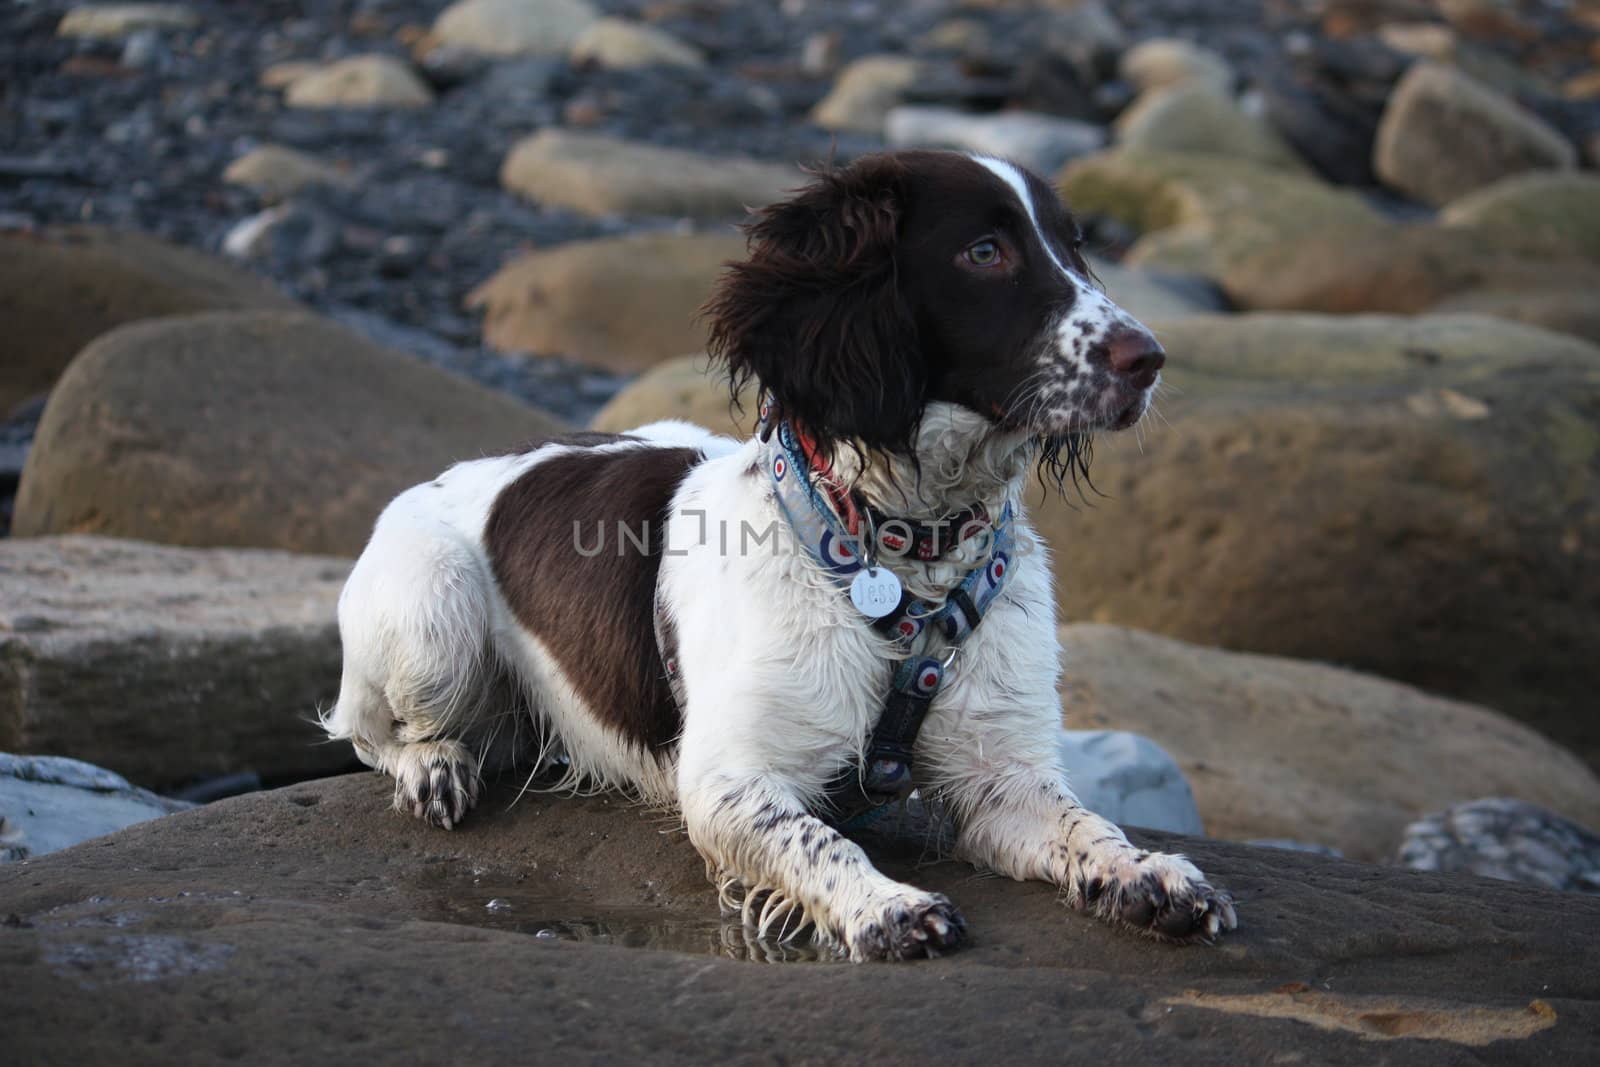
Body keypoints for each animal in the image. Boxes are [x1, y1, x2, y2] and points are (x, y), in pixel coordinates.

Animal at [324, 150, 1235, 959]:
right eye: (985, 251)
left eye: (1074, 244)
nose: (1148, 357)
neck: (905, 555)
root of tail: (461, 469)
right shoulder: (729, 779)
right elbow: (820, 840)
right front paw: (887, 905)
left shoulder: (1000, 775)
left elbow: (1086, 822)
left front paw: (1151, 873)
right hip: (432, 616)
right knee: (370, 731)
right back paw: (433, 765)